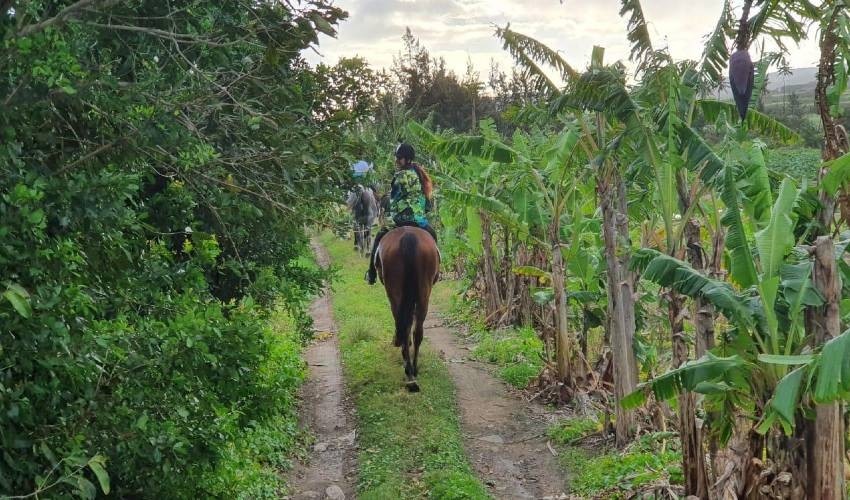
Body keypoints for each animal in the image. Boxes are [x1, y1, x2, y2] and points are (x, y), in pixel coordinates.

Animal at [375, 226, 440, 392]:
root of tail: (408, 236)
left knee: (404, 325)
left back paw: (409, 370)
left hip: (395, 293)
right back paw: (413, 371)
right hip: (423, 293)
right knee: (417, 331)